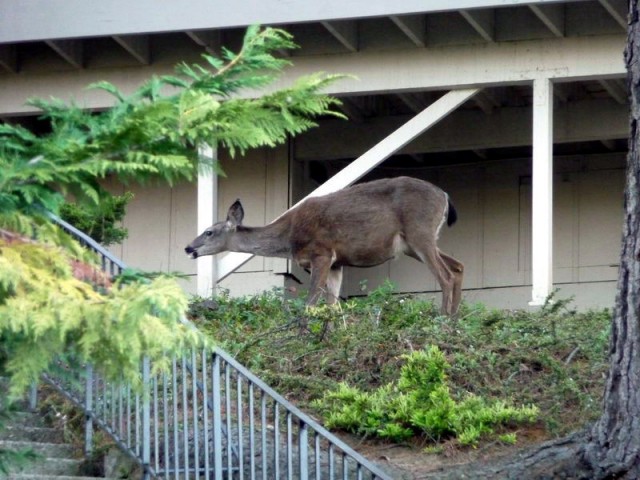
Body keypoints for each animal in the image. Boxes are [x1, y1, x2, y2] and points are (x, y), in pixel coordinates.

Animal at [185, 175, 464, 316]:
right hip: (413, 244)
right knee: (458, 266)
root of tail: (445, 195)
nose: (188, 248)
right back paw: (455, 318)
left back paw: (443, 318)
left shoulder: (321, 253)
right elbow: (333, 304)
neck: (289, 238)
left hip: (420, 232)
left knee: (446, 275)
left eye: (209, 232)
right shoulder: (337, 263)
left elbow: (310, 304)